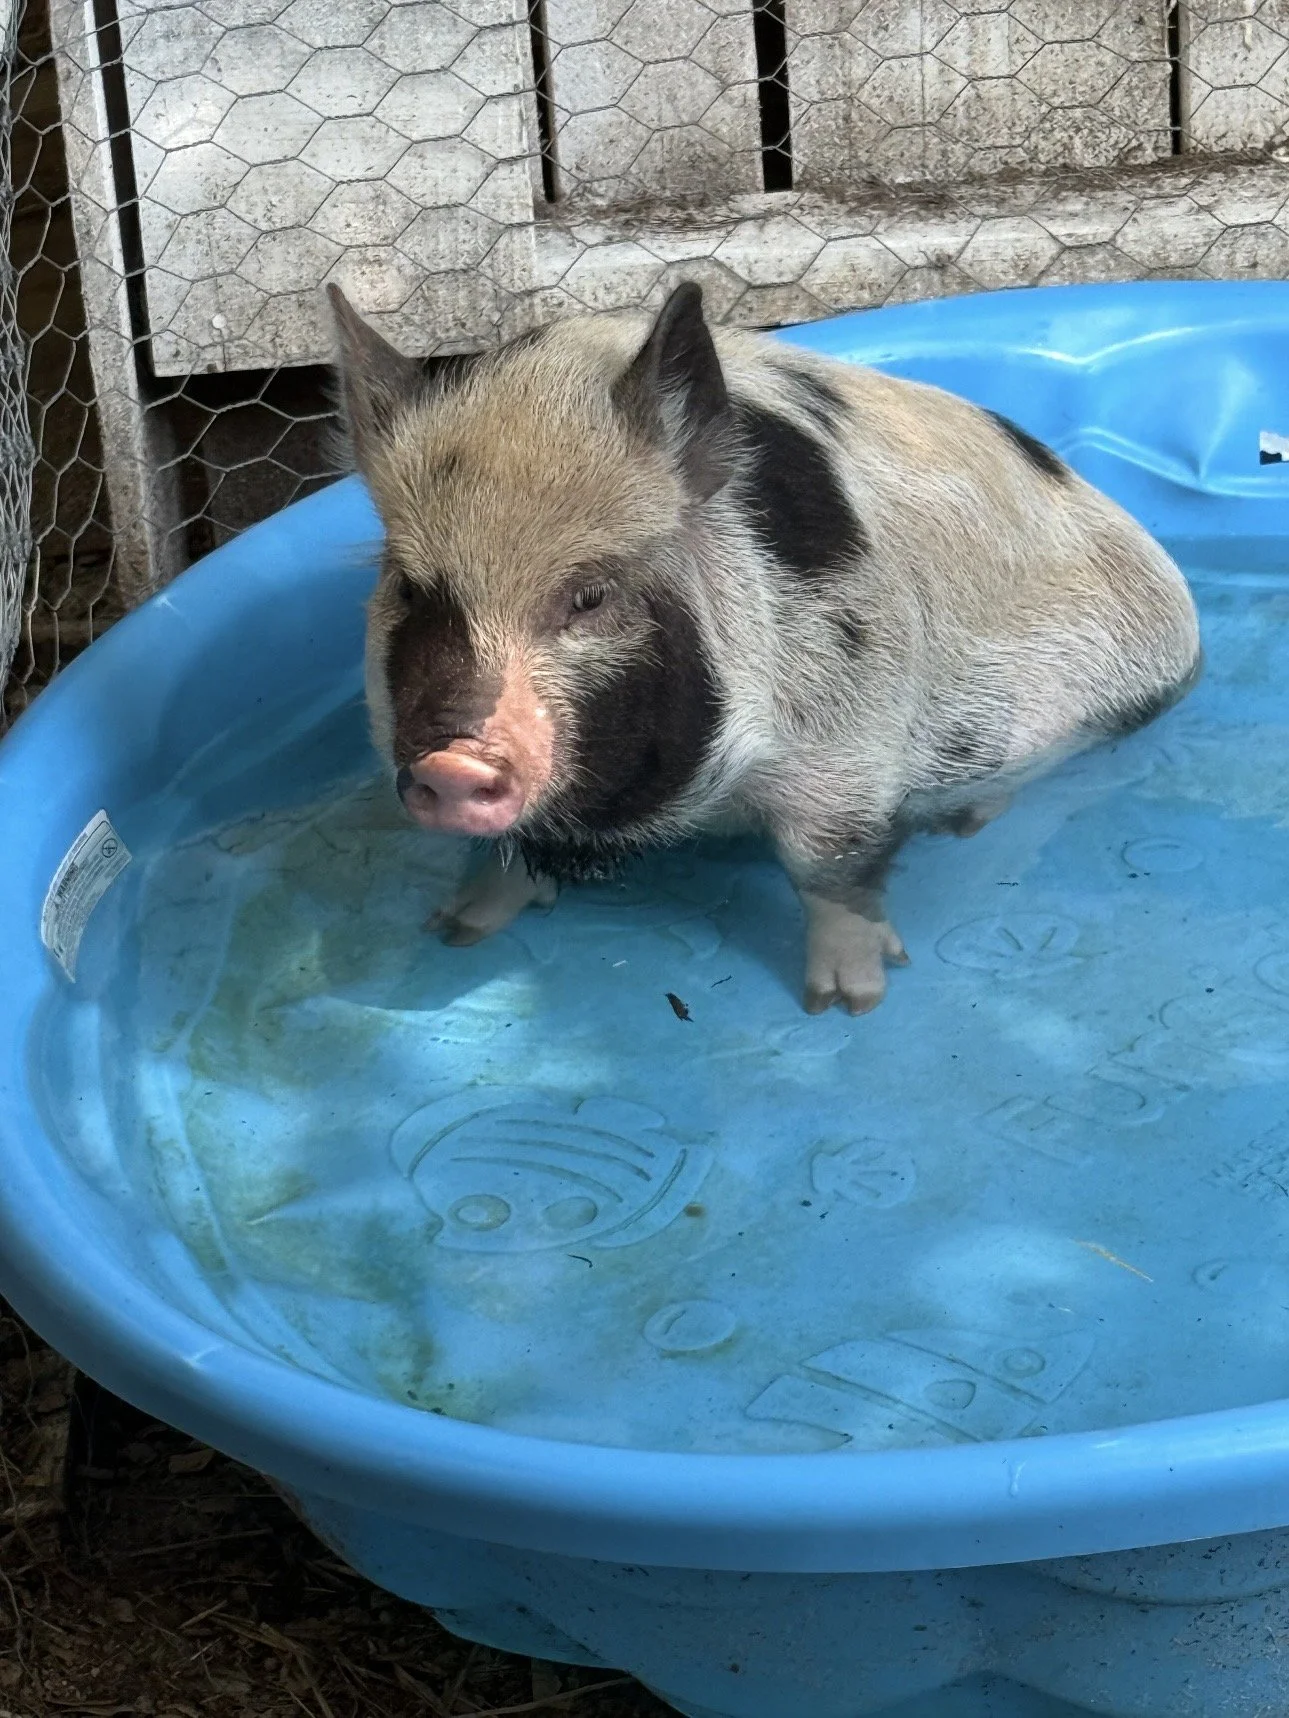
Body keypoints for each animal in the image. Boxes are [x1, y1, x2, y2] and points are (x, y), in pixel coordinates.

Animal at [328, 280, 1201, 1017]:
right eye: (409, 587)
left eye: (590, 595)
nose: (451, 761)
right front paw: (455, 930)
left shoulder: (844, 739)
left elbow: (830, 868)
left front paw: (845, 1003)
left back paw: (960, 825)